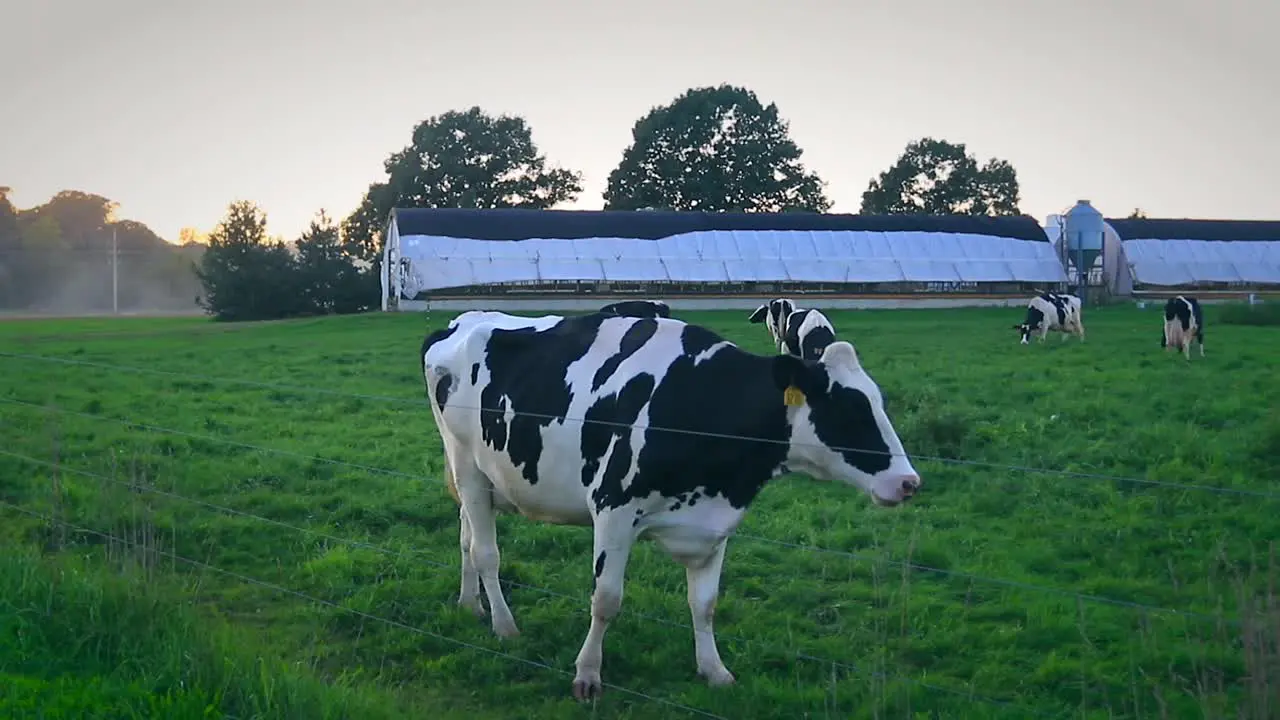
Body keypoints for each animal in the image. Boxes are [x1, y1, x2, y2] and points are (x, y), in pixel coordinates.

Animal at [419, 310, 921, 702]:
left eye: (880, 403)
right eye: (850, 411)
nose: (908, 482)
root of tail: (462, 321)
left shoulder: (715, 523)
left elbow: (705, 605)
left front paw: (714, 670)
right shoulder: (614, 510)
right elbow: (606, 600)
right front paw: (587, 674)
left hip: (479, 482)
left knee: (466, 537)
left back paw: (470, 605)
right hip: (467, 467)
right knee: (486, 551)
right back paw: (504, 626)